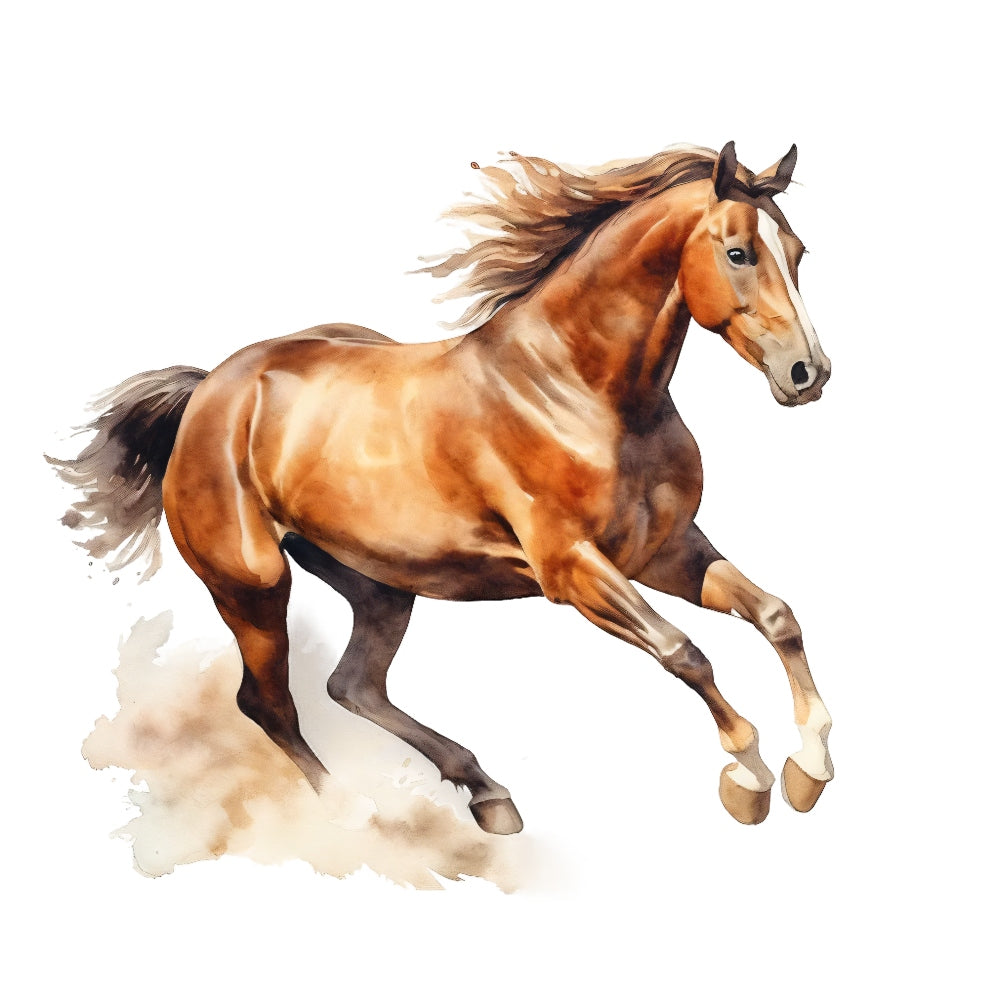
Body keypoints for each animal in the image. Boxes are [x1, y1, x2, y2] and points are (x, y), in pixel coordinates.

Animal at [52, 141, 833, 832]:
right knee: (270, 704)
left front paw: (810, 770)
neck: (582, 392)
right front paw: (749, 780)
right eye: (739, 253)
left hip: (381, 583)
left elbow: (777, 617)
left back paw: (488, 793)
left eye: (798, 253)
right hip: (252, 585)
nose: (809, 373)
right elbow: (684, 652)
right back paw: (352, 815)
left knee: (352, 685)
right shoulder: (572, 570)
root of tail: (211, 389)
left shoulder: (664, 550)